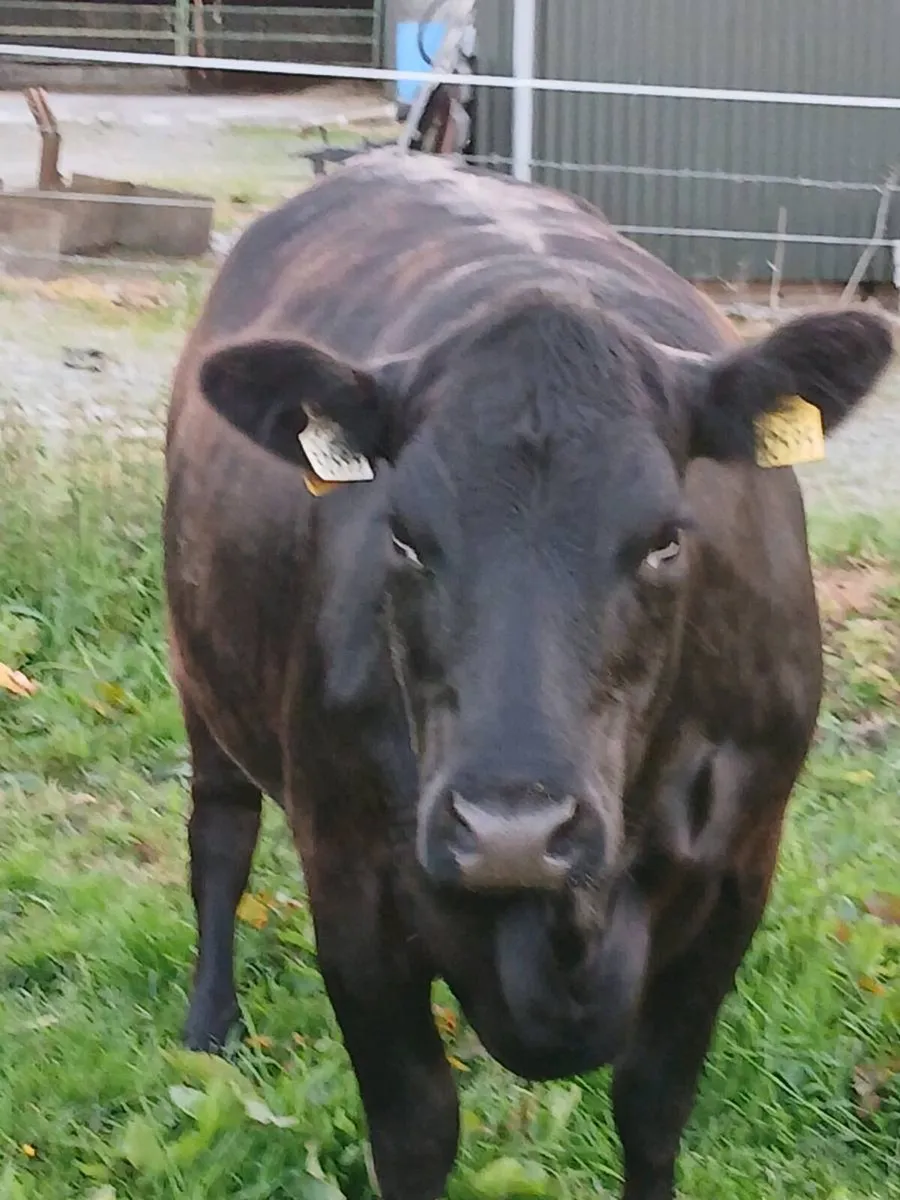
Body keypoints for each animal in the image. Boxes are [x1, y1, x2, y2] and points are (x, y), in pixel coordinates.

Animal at [163, 148, 892, 1200]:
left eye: (667, 539)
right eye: (402, 534)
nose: (513, 830)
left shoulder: (738, 880)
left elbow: (655, 1106)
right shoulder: (351, 882)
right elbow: (416, 1128)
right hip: (199, 672)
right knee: (219, 837)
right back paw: (209, 1027)